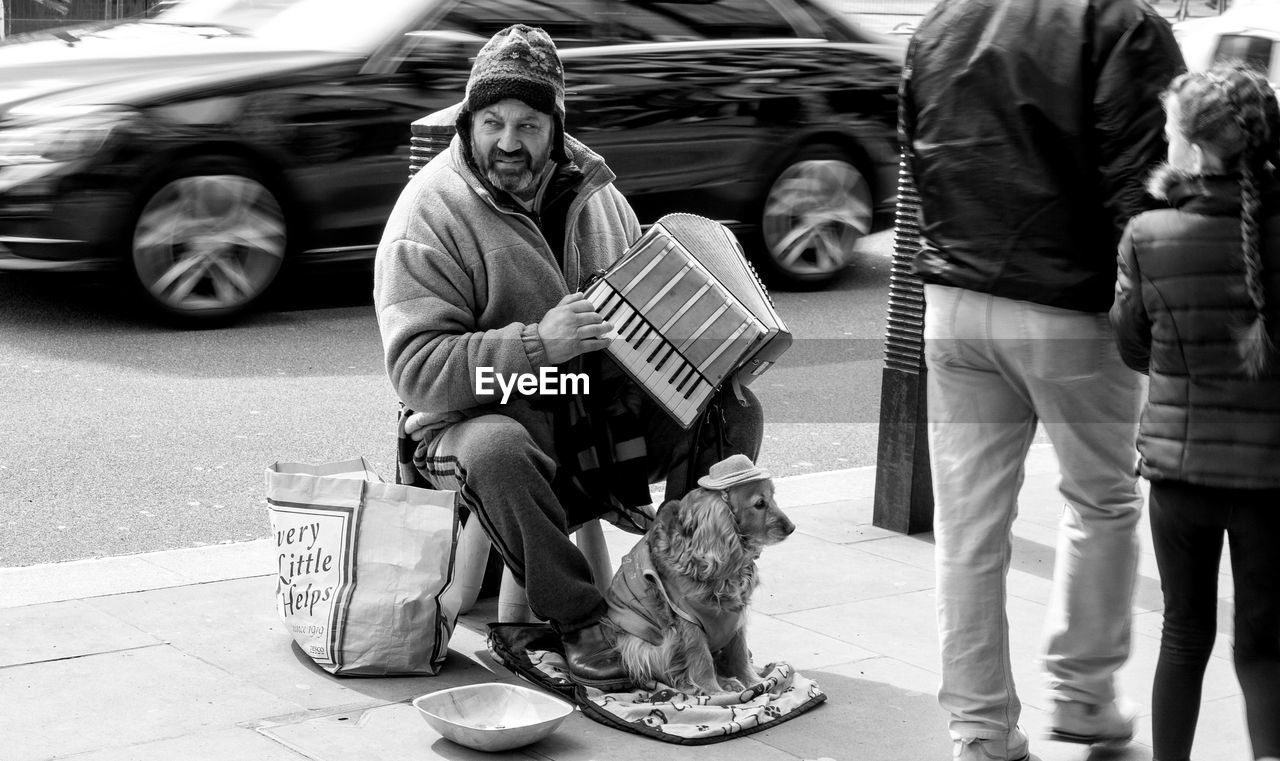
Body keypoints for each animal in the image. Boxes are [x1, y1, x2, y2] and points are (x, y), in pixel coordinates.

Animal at [604, 452, 793, 695]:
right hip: (646, 644)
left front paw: (754, 683)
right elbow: (702, 659)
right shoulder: (688, 620)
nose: (791, 527)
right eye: (760, 504)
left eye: (773, 497)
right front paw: (714, 692)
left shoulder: (735, 616)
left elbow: (739, 652)